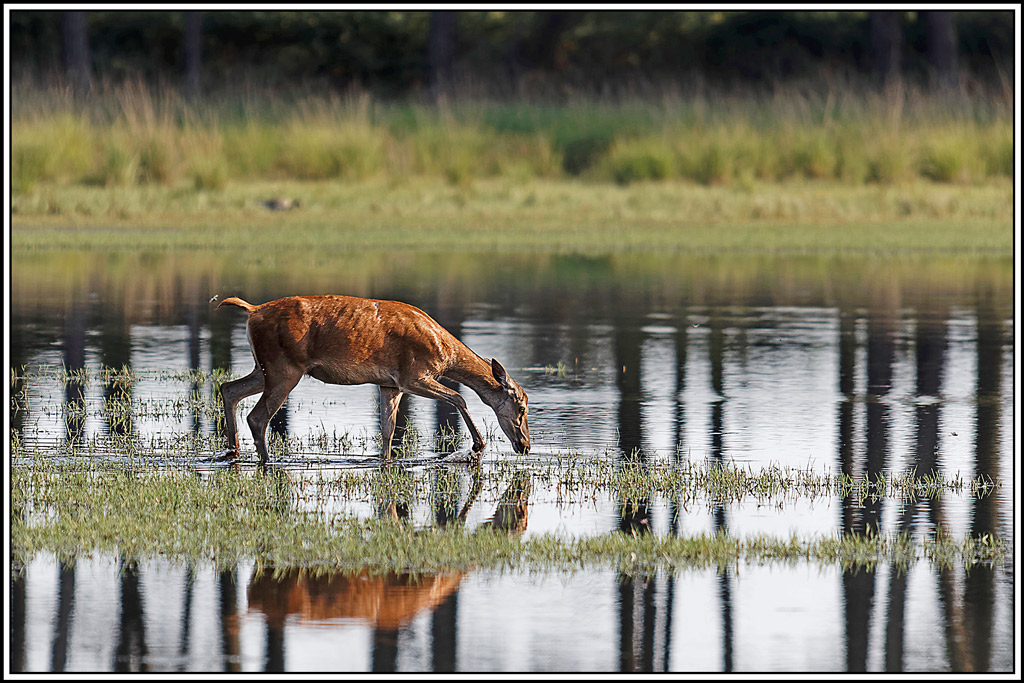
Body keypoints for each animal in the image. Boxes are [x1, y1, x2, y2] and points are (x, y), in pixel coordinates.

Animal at [215, 294, 530, 463]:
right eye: (522, 407)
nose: (525, 445)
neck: (447, 353)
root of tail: (253, 311)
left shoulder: (389, 384)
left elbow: (388, 430)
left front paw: (385, 459)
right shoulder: (413, 375)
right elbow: (459, 396)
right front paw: (477, 446)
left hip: (265, 368)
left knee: (228, 388)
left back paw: (233, 452)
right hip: (284, 369)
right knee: (257, 416)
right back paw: (267, 461)